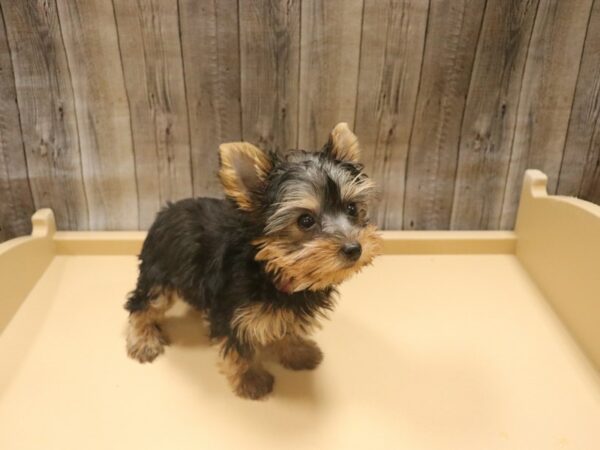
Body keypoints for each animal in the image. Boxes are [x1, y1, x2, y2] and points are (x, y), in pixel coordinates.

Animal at [124, 122, 382, 398]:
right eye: (305, 221)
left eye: (352, 209)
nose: (354, 248)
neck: (271, 268)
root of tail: (166, 211)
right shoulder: (232, 311)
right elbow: (239, 347)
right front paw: (251, 379)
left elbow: (288, 328)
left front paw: (296, 352)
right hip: (160, 269)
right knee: (143, 304)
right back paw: (143, 340)